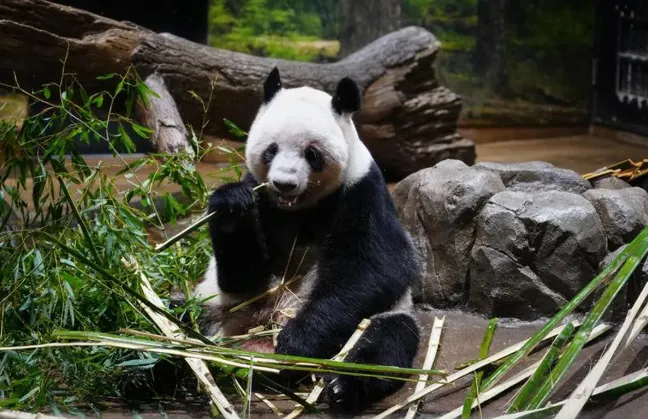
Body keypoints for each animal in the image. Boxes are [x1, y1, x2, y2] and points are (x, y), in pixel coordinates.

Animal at [192, 67, 422, 414]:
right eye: (270, 150)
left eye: (311, 154)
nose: (283, 183)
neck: (299, 208)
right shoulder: (262, 199)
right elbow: (242, 276)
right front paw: (231, 207)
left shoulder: (362, 191)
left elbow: (375, 268)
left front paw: (297, 342)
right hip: (215, 308)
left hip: (385, 316)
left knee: (385, 342)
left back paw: (343, 386)